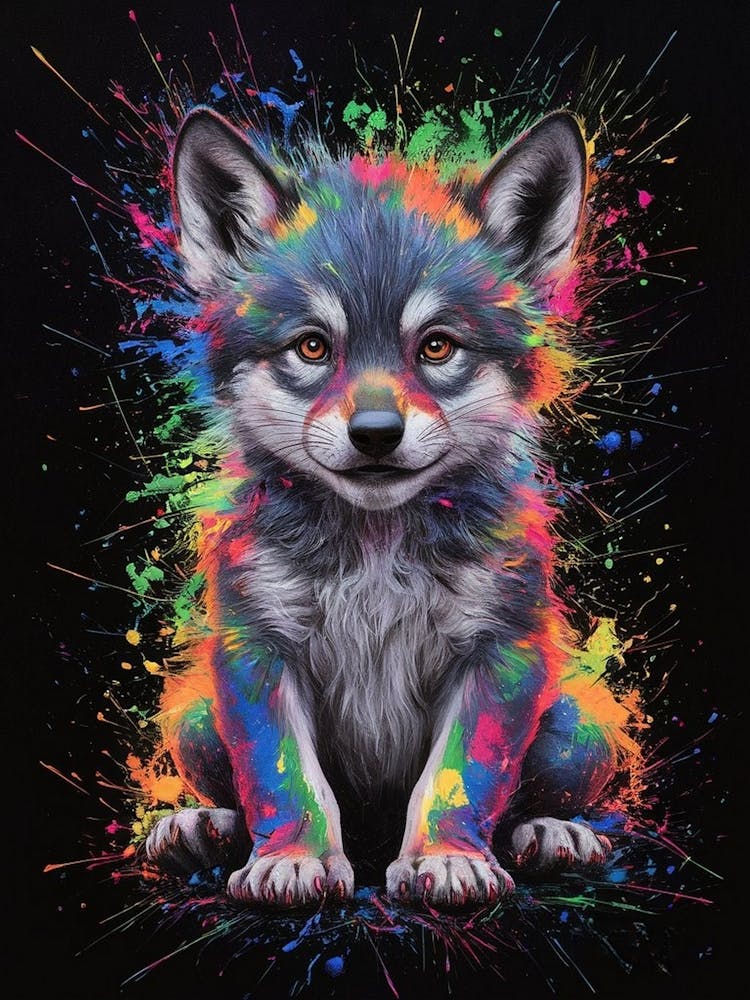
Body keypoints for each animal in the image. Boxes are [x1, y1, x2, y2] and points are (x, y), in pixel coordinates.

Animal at [144, 106, 637, 908]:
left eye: (437, 347)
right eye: (312, 347)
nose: (376, 433)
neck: (376, 552)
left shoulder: (500, 654)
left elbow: (459, 778)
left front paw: (447, 858)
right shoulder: (257, 651)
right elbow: (284, 779)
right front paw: (294, 858)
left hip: (579, 731)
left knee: (532, 799)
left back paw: (551, 834)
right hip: (191, 715)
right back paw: (201, 827)